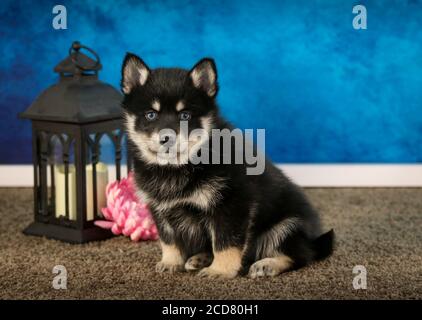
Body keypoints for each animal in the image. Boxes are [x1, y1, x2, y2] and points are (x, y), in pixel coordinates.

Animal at [120, 53, 334, 278]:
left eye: (185, 115)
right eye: (151, 114)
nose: (166, 139)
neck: (182, 166)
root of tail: (312, 240)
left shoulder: (231, 203)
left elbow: (226, 241)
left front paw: (220, 270)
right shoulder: (160, 209)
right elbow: (169, 239)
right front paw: (170, 262)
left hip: (288, 226)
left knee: (299, 255)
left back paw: (267, 265)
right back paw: (199, 258)